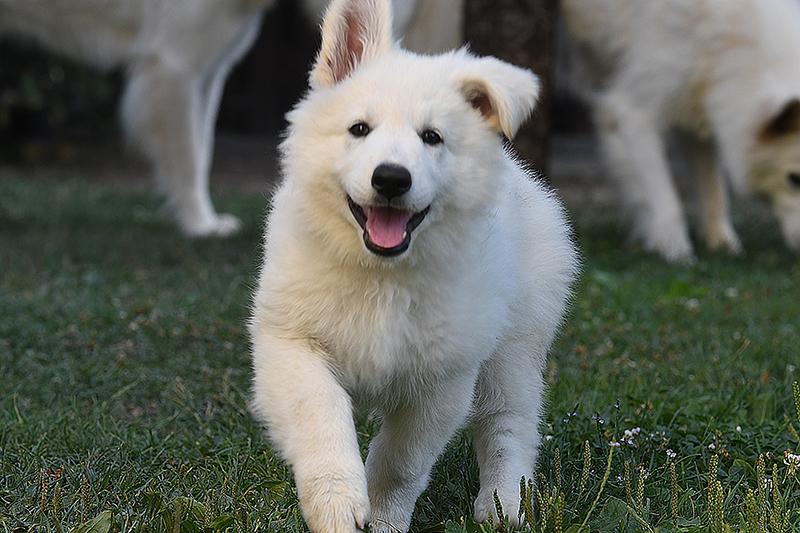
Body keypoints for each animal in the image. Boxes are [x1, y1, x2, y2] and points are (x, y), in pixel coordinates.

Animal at [248, 0, 576, 528]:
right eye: (360, 129)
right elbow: (321, 415)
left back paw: (503, 503)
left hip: (515, 347)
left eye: (432, 138)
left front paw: (383, 519)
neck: (382, 275)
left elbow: (400, 463)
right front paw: (337, 503)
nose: (390, 178)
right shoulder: (291, 343)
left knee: (510, 423)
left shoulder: (441, 382)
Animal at [560, 0, 800, 260]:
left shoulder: (699, 110)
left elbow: (713, 189)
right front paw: (675, 251)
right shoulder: (633, 113)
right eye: (794, 179)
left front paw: (722, 244)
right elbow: (665, 199)